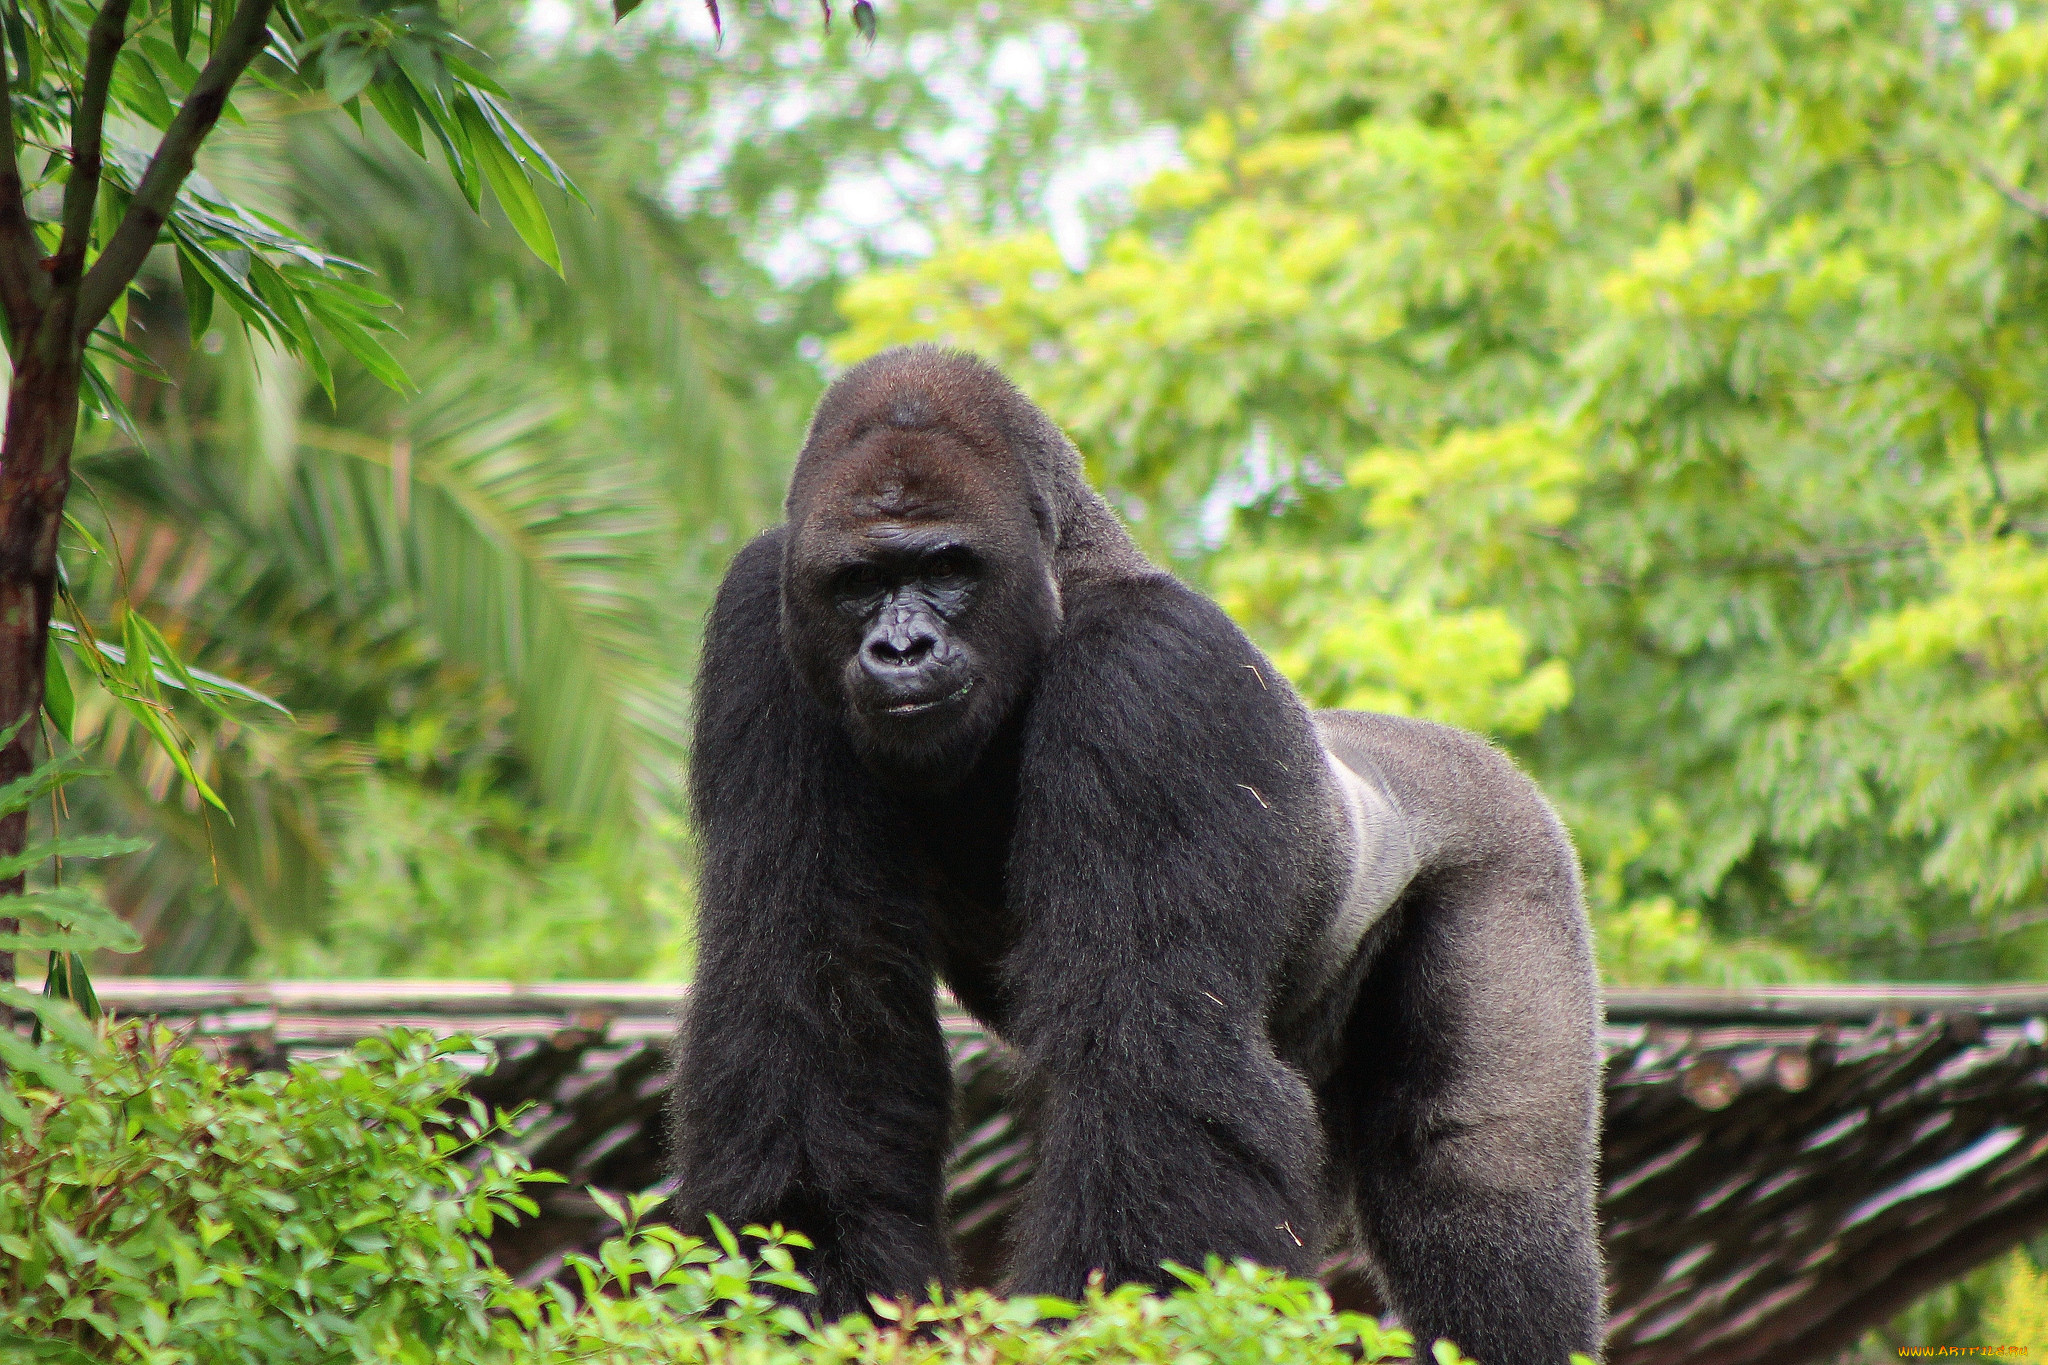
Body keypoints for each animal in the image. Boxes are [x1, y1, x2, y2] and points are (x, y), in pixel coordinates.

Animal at [667, 343, 1597, 1365]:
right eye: (859, 581)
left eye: (948, 566)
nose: (901, 647)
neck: (1065, 568)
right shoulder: (762, 622)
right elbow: (811, 1017)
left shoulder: (1151, 674)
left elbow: (1151, 1063)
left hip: (1512, 850)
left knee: (1476, 1185)